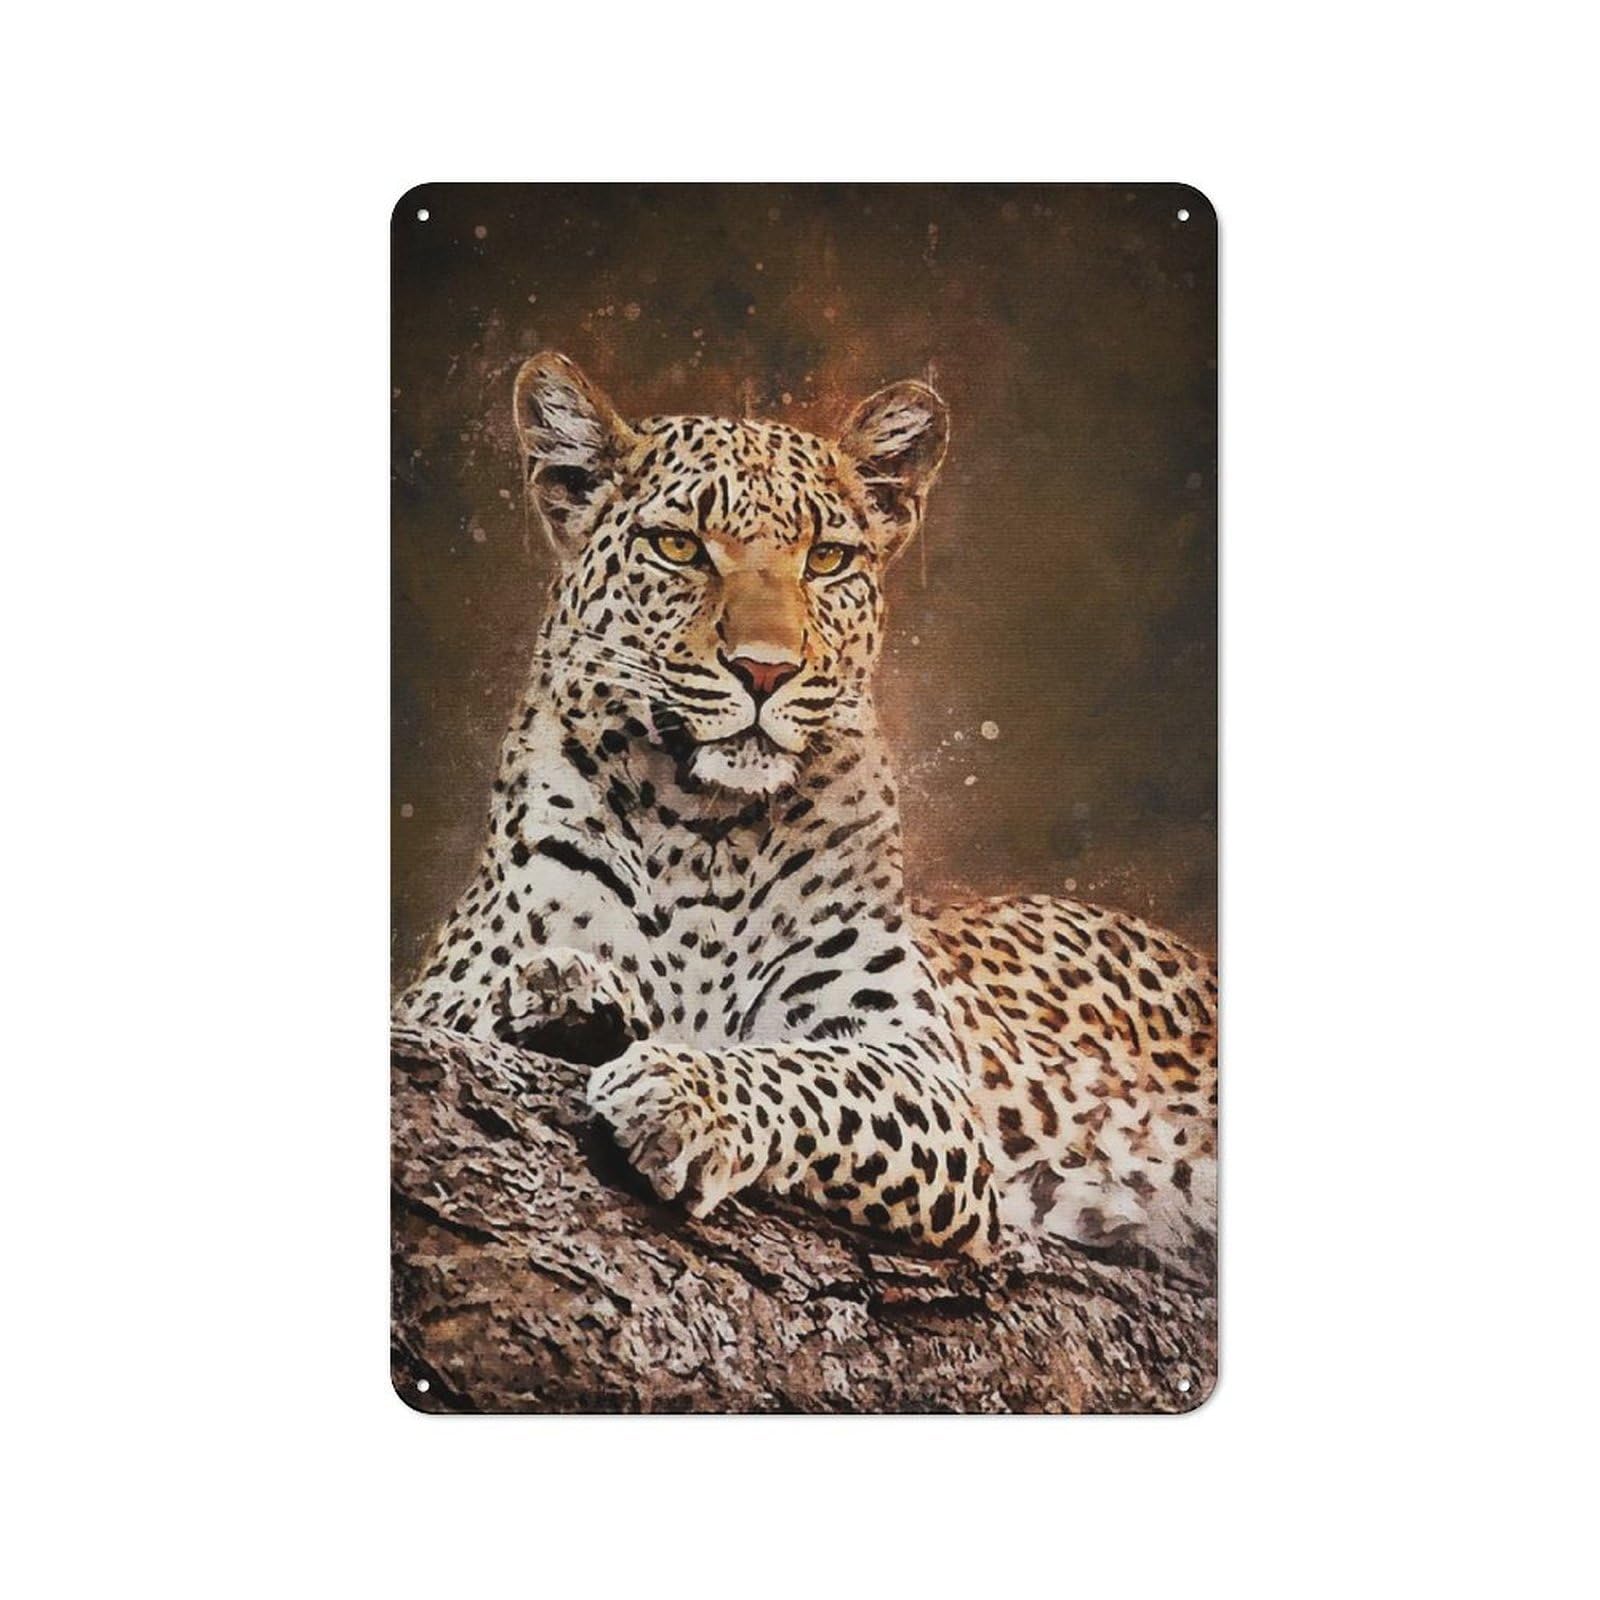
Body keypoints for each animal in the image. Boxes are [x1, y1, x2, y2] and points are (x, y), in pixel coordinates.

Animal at [396, 351, 1217, 1278]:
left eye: (826, 559)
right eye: (679, 547)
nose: (765, 671)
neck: (704, 828)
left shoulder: (922, 1072)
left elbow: (806, 1074)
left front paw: (680, 1093)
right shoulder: (438, 989)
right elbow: (478, 998)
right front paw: (568, 999)